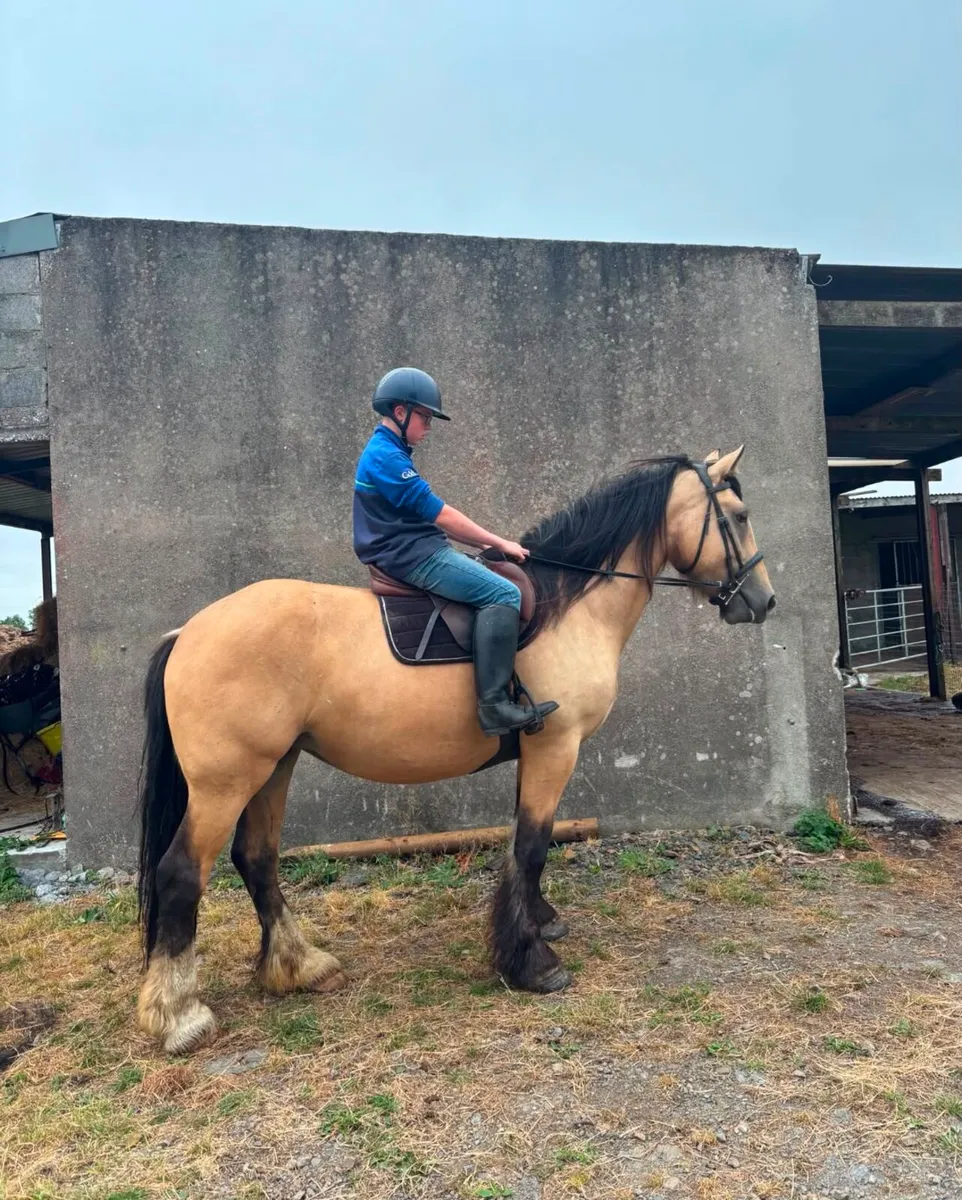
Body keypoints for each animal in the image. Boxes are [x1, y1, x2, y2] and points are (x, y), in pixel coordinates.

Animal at [135, 446, 775, 1054]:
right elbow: (533, 847)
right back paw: (180, 1016)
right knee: (182, 872)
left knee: (257, 859)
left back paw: (301, 967)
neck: (568, 604)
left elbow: (523, 844)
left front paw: (539, 923)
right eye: (739, 516)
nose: (763, 601)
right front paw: (532, 963)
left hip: (274, 768)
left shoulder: (536, 756)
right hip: (226, 782)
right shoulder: (556, 748)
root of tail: (188, 632)